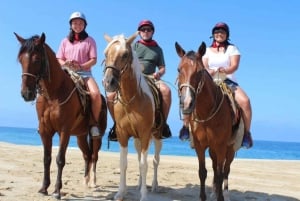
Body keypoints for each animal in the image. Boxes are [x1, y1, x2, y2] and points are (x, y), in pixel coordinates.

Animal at [14, 32, 108, 199]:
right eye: (21, 60)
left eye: (37, 59)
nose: (26, 94)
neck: (53, 94)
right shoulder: (45, 131)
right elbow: (46, 159)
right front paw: (44, 188)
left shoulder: (64, 131)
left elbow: (60, 159)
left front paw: (57, 191)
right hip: (81, 136)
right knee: (87, 155)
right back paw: (85, 181)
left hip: (97, 136)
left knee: (94, 156)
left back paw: (93, 182)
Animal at [102, 32, 163, 201]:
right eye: (106, 54)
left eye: (125, 55)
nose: (108, 82)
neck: (131, 99)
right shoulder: (123, 134)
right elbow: (124, 163)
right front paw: (121, 193)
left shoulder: (145, 134)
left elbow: (144, 164)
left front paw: (144, 195)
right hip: (136, 139)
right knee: (140, 158)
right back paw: (139, 184)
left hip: (156, 136)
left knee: (155, 161)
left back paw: (154, 186)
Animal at [175, 41, 243, 201]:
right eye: (179, 69)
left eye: (200, 72)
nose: (186, 103)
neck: (207, 114)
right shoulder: (200, 146)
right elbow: (203, 172)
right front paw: (203, 196)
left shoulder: (221, 146)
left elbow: (220, 174)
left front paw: (220, 197)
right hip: (212, 149)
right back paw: (214, 192)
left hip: (230, 149)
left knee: (225, 170)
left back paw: (225, 194)